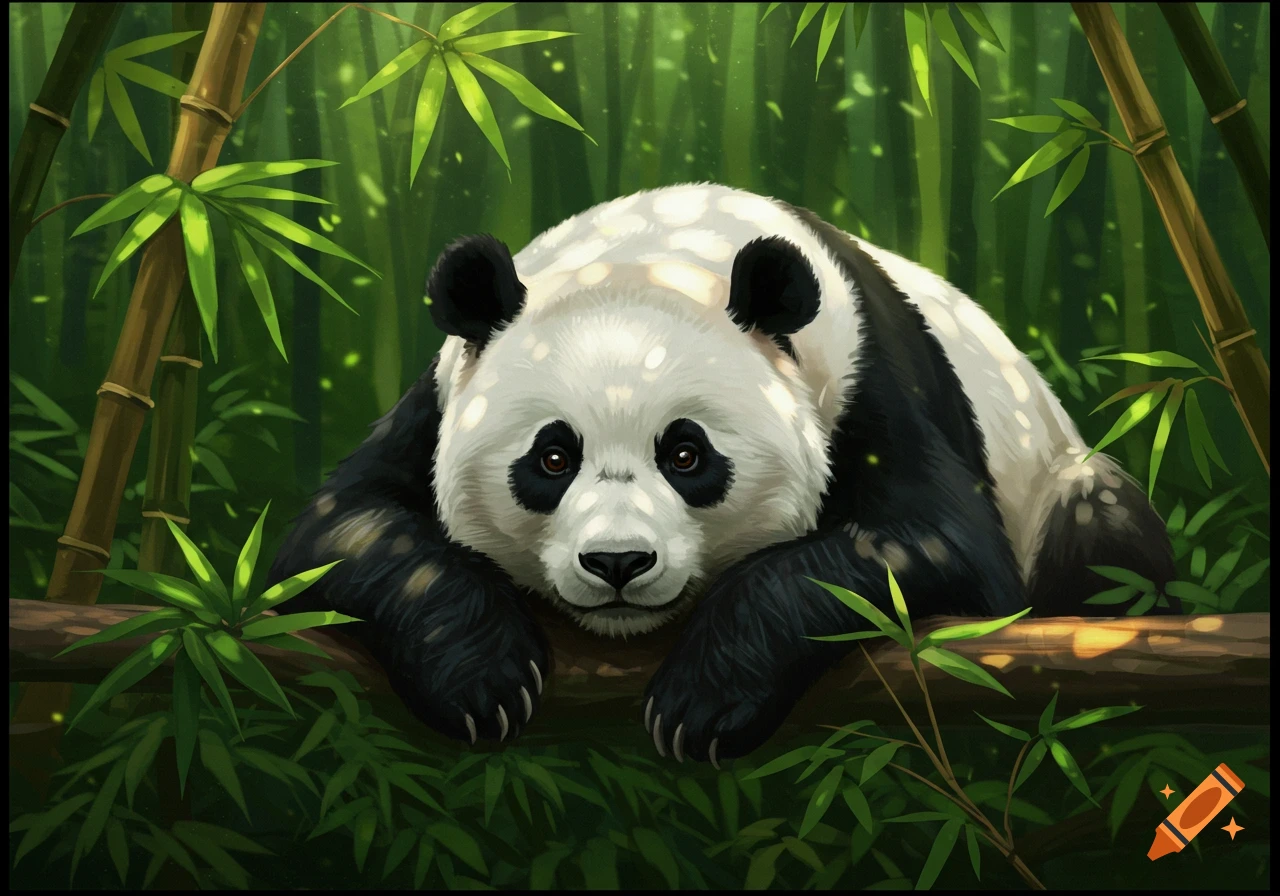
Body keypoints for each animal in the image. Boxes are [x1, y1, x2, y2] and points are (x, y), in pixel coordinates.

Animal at [266, 184, 1174, 766]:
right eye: (553, 458)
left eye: (686, 455)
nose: (619, 564)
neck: (659, 252)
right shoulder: (436, 401)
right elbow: (340, 529)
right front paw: (481, 676)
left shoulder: (867, 379)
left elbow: (937, 550)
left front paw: (702, 702)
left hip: (1057, 474)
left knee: (1102, 521)